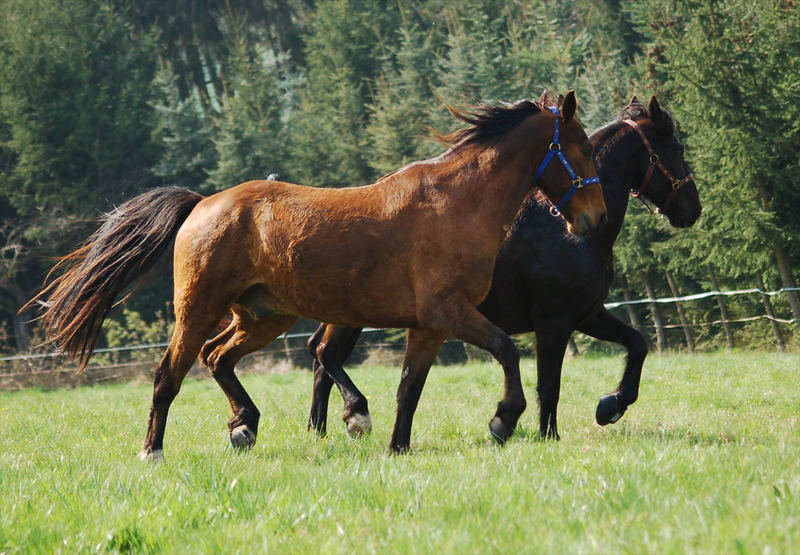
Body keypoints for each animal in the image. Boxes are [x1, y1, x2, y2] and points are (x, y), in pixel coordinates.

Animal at [26, 93, 608, 462]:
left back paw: (245, 425)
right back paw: (153, 452)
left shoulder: (429, 326)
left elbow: (409, 389)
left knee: (218, 357)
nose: (596, 220)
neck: (457, 202)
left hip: (265, 317)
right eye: (583, 149)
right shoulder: (450, 312)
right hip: (198, 311)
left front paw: (396, 446)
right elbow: (507, 351)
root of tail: (202, 204)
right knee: (169, 374)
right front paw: (503, 420)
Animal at [306, 97, 700, 440]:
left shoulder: (588, 314)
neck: (563, 232)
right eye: (677, 149)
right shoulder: (554, 321)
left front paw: (611, 406)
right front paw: (544, 434)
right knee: (324, 354)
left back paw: (319, 429)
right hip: (350, 316)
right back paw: (353, 413)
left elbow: (638, 343)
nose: (693, 208)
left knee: (320, 361)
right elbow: (549, 385)